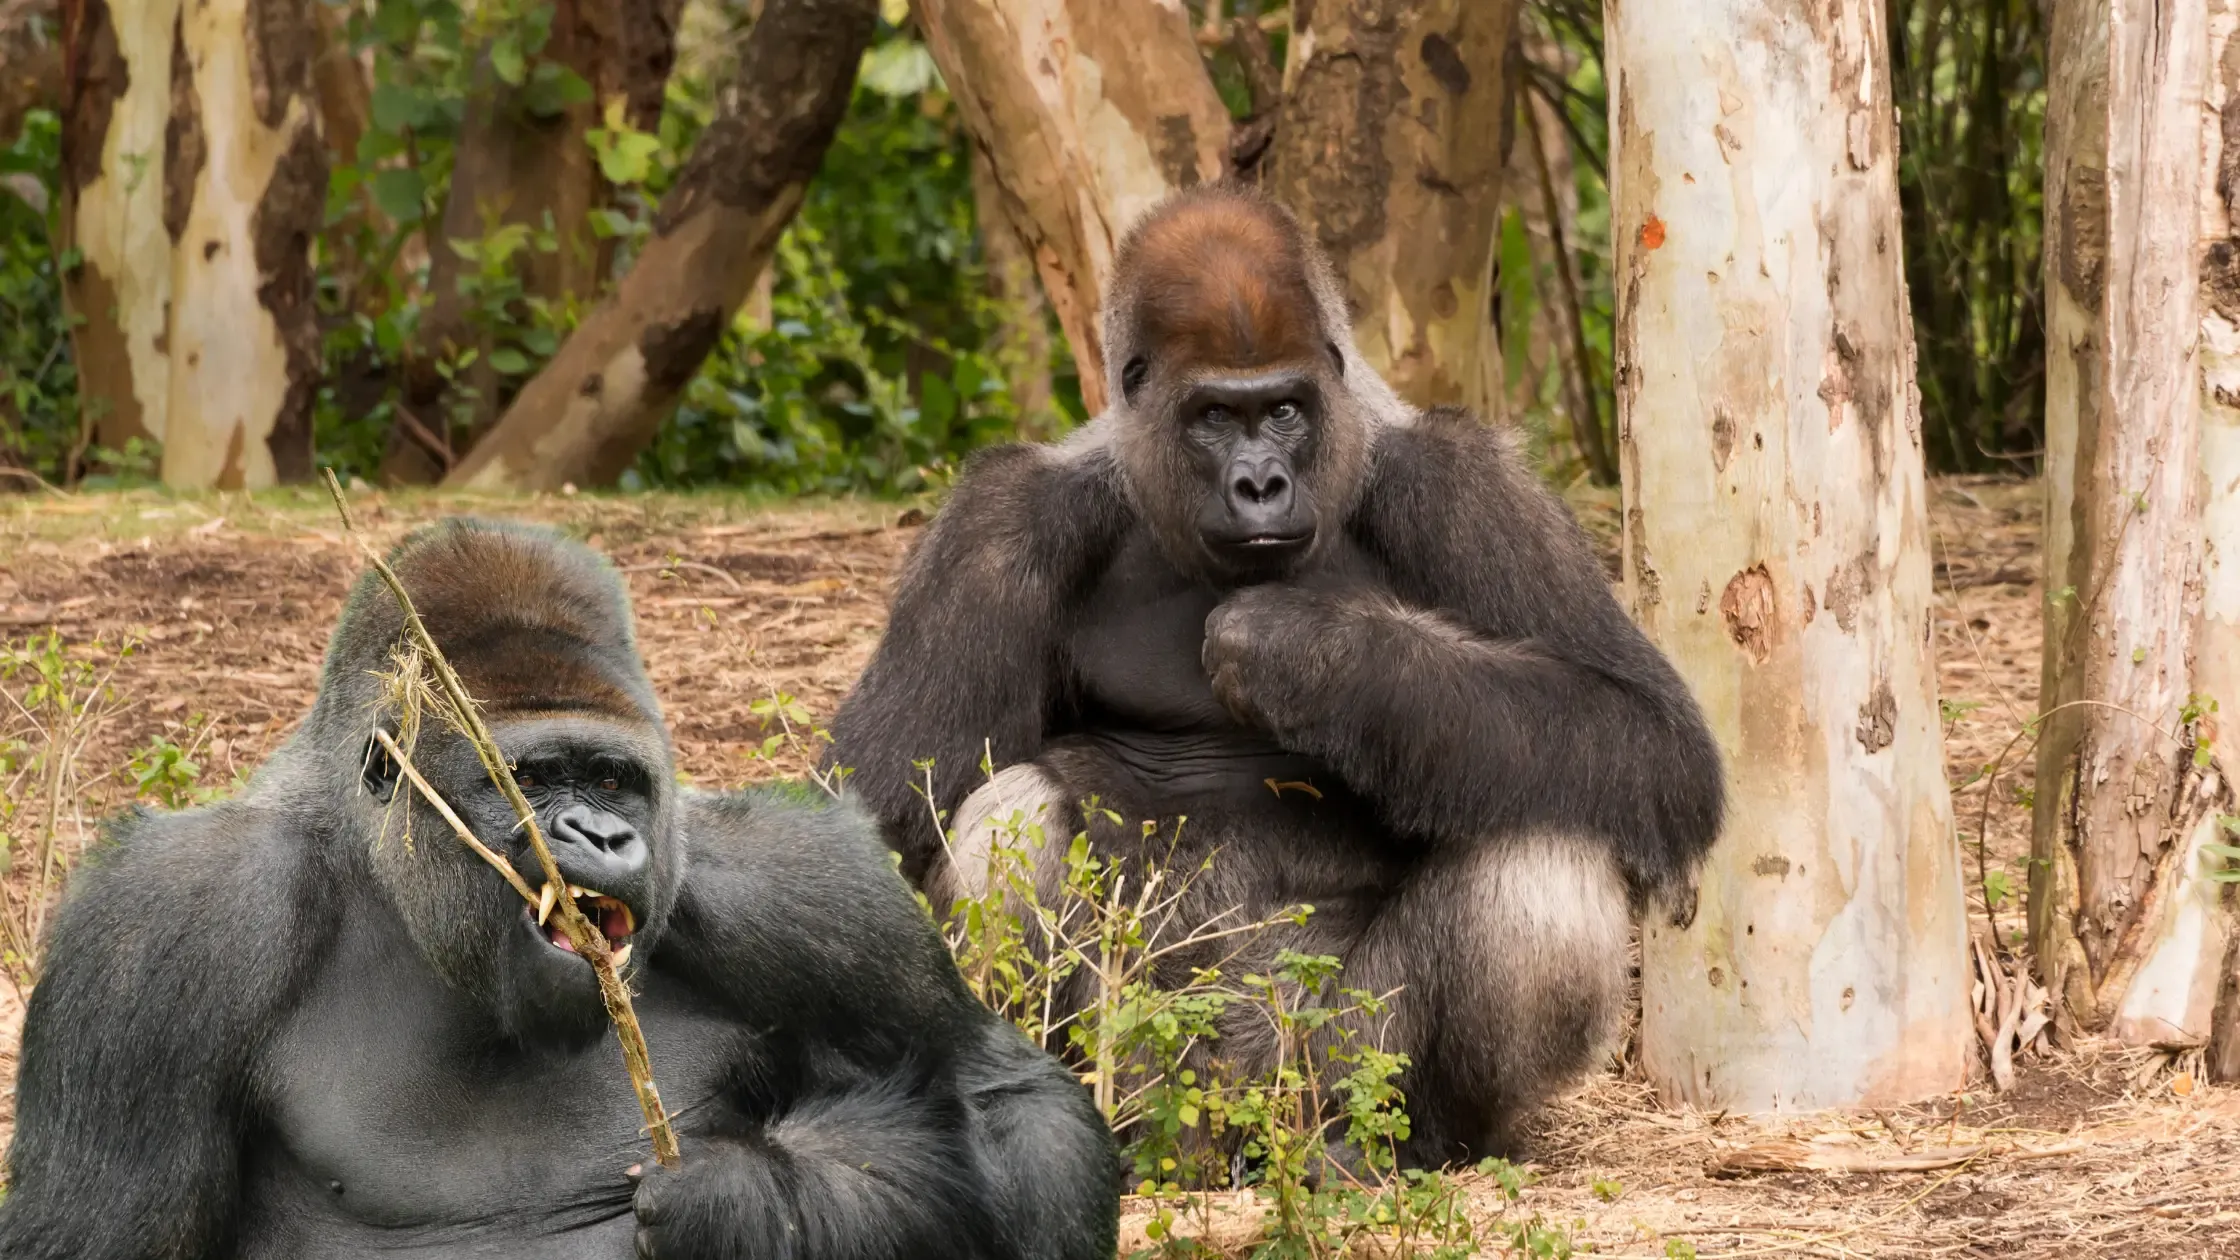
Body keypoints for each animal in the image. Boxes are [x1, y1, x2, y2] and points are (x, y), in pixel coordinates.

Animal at [0, 517, 1120, 1255]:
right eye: (533, 780)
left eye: (614, 780)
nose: (601, 834)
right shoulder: (167, 927)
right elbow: (98, 1231)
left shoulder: (813, 893)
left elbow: (1002, 1097)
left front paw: (747, 1205)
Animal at [833, 181, 1720, 1165]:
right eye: (1216, 417)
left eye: (1285, 410)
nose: (1259, 485)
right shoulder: (997, 524)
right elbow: (873, 813)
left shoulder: (1466, 485)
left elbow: (1648, 737)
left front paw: (1308, 652)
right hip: (1155, 1082)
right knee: (1012, 815)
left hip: (1323, 1068)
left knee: (1544, 838)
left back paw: (1411, 1142)